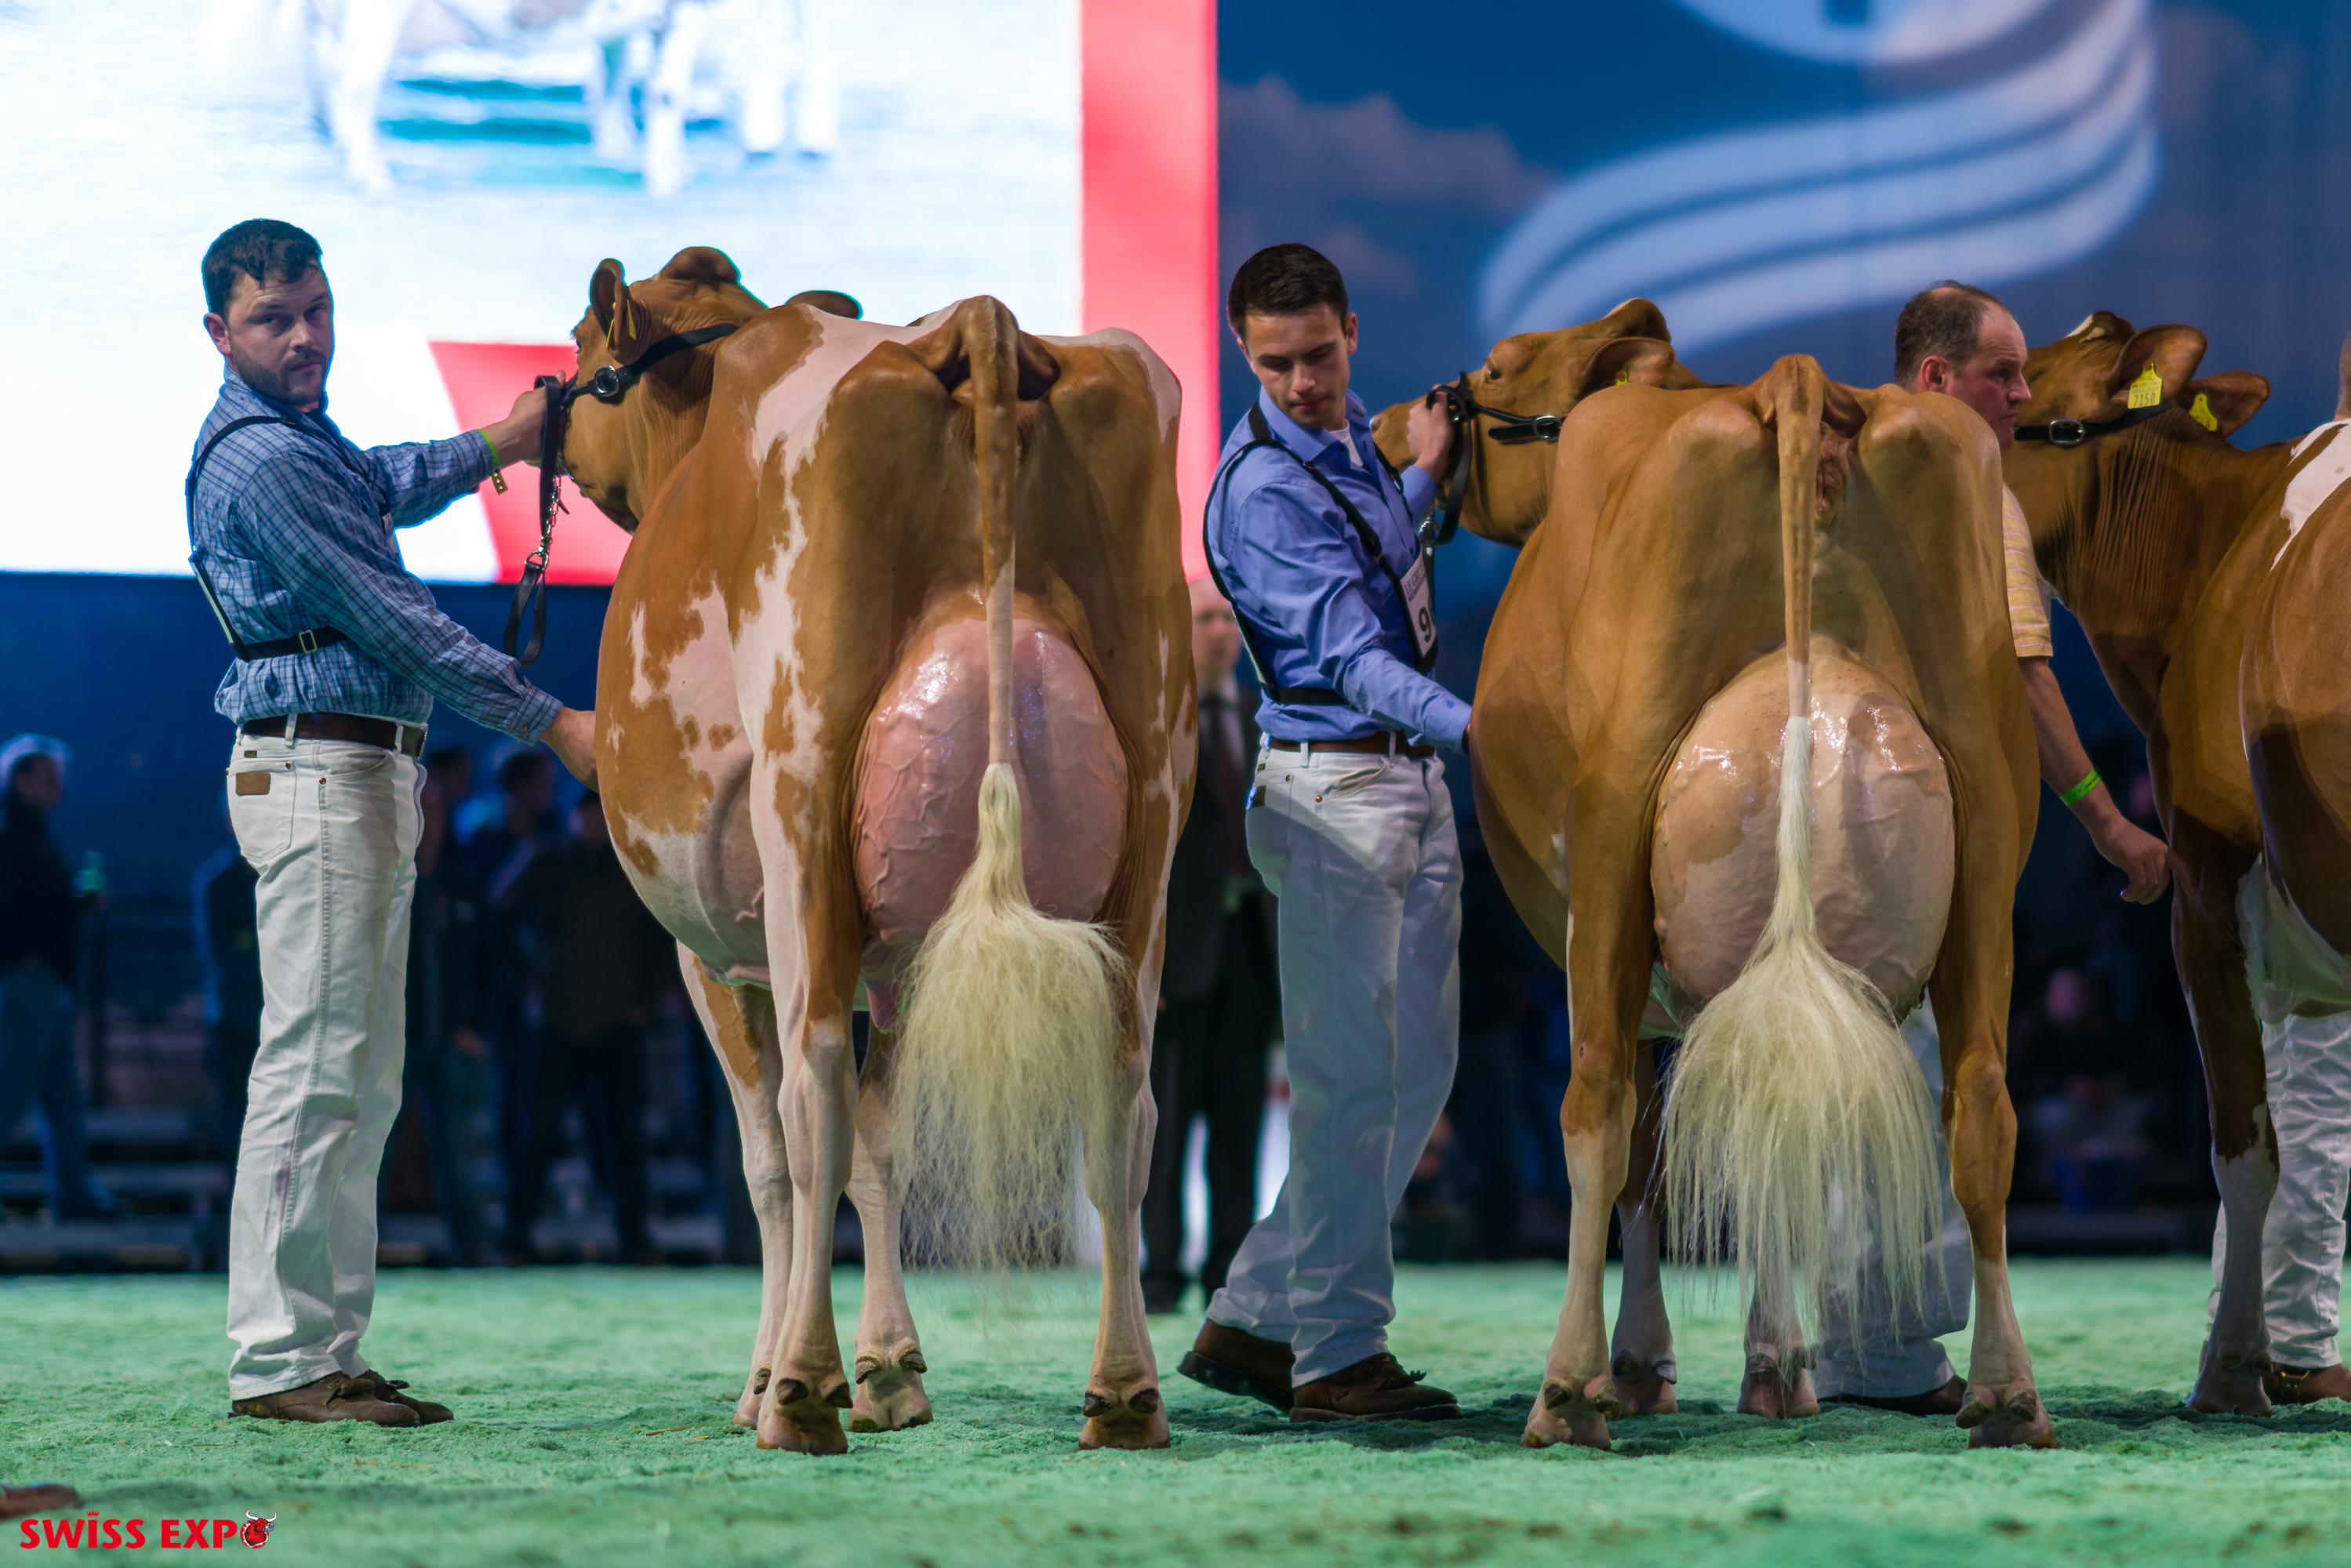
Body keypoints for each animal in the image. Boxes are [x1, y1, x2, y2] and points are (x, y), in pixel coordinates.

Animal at [557, 246, 1192, 1453]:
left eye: (579, 351)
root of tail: (977, 324)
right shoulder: (899, 960)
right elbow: (887, 1145)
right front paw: (894, 1367)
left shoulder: (713, 957)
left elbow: (775, 1165)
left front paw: (776, 1375)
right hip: (1152, 804)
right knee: (1126, 1103)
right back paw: (1125, 1389)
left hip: (803, 794)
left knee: (813, 1098)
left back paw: (798, 1396)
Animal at [1373, 304, 2047, 1450]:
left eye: (1496, 369)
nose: (1382, 426)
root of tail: (1793, 384)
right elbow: (1758, 1133)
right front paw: (1774, 1365)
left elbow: (1654, 1155)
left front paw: (1644, 1363)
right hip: (1986, 853)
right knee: (1981, 1107)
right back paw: (2005, 1393)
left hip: (1609, 833)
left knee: (1596, 1106)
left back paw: (1567, 1390)